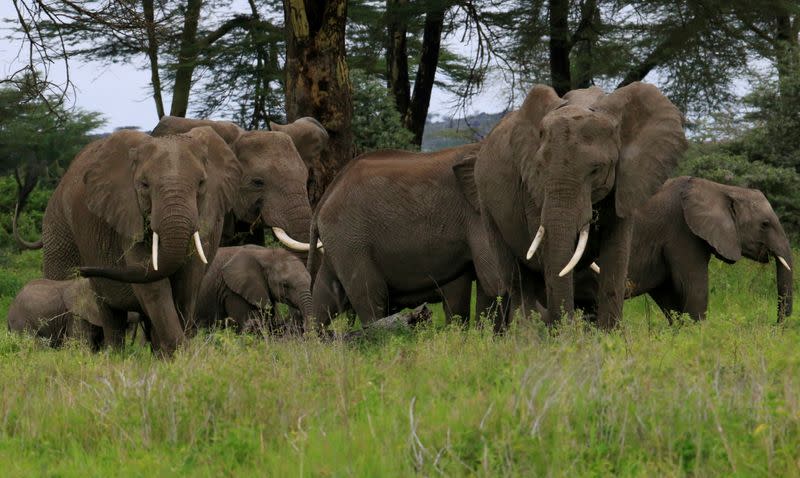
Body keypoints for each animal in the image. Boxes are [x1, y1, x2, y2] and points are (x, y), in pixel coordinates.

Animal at [45, 127, 239, 354]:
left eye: (201, 183)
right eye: (144, 185)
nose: (83, 270)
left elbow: (188, 279)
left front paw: (179, 354)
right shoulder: (127, 214)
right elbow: (153, 284)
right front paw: (179, 353)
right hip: (58, 227)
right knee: (110, 314)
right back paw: (115, 354)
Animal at [310, 144, 504, 326]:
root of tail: (325, 197)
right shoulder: (477, 216)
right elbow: (492, 279)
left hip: (339, 244)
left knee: (325, 296)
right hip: (350, 239)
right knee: (370, 295)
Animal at [460, 82, 692, 328]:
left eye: (596, 169)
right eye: (540, 168)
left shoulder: (627, 181)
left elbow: (616, 254)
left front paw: (610, 334)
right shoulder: (531, 189)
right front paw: (563, 333)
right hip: (486, 204)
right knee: (517, 279)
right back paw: (528, 334)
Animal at [576, 177, 792, 324]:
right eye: (765, 224)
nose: (779, 326)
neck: (720, 189)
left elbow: (670, 297)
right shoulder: (683, 233)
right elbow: (692, 288)